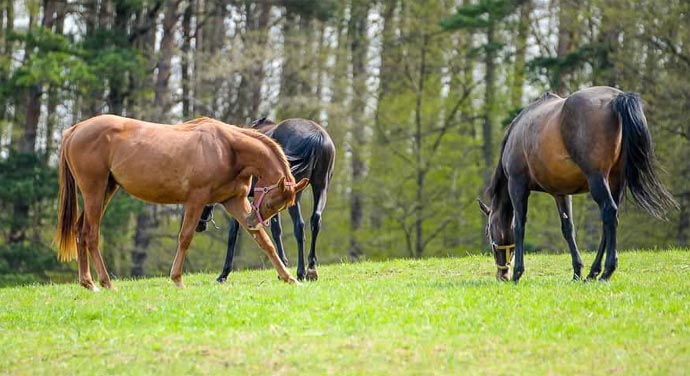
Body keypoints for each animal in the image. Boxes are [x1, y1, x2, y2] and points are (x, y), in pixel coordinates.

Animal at [54, 114, 310, 290]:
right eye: (271, 203)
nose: (251, 221)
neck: (226, 148)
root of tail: (76, 129)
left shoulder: (234, 201)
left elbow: (265, 242)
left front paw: (289, 277)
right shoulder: (196, 200)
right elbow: (185, 238)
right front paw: (177, 278)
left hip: (106, 189)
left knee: (80, 231)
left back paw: (88, 282)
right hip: (94, 191)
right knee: (91, 235)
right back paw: (106, 282)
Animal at [196, 117, 336, 282]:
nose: (198, 226)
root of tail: (316, 136)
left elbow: (233, 233)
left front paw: (224, 274)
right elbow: (276, 230)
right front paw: (283, 265)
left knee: (299, 226)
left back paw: (301, 271)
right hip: (321, 187)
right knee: (316, 220)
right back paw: (311, 269)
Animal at [476, 86, 676, 282]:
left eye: (487, 231)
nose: (502, 275)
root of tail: (616, 98)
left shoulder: (517, 185)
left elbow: (519, 225)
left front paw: (518, 272)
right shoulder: (561, 193)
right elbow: (568, 229)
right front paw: (577, 271)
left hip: (597, 179)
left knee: (609, 212)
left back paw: (607, 271)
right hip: (615, 181)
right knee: (609, 220)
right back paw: (593, 272)